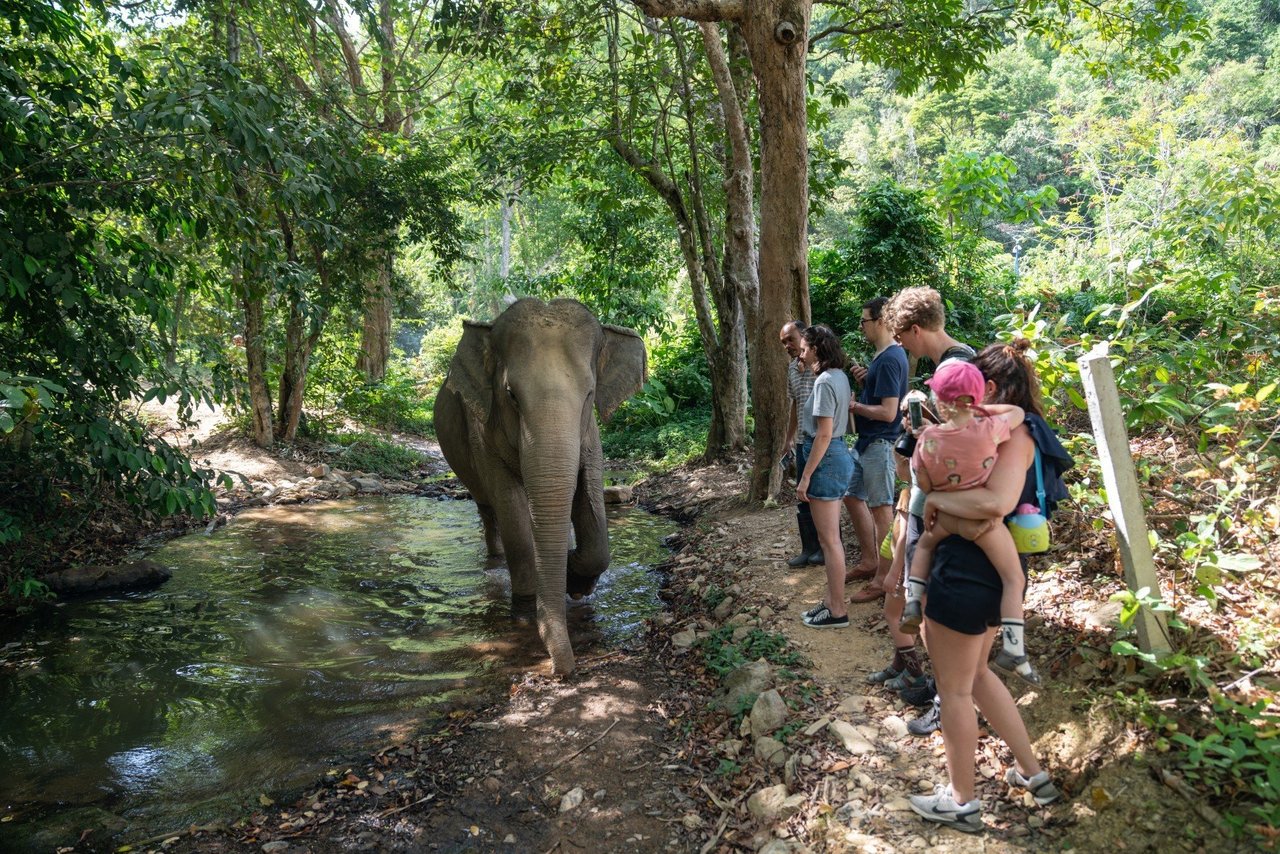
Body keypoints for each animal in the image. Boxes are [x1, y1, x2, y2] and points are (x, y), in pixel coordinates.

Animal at [432, 297, 650, 676]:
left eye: (589, 393)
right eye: (511, 395)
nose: (564, 671)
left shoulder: (591, 436)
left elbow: (592, 504)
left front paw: (575, 580)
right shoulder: (481, 432)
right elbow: (514, 514)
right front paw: (524, 612)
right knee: (489, 512)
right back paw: (496, 559)